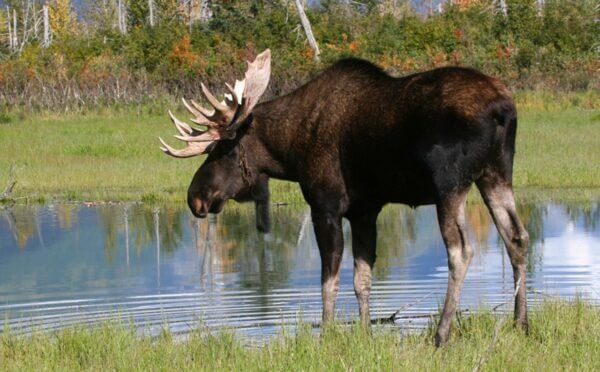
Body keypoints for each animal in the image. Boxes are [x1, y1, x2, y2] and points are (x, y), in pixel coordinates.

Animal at [159, 49, 528, 346]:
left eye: (222, 149)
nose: (195, 197)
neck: (291, 152)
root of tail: (503, 109)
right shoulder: (364, 211)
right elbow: (362, 279)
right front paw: (364, 333)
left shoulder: (325, 206)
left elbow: (329, 282)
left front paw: (326, 334)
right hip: (496, 174)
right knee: (517, 237)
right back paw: (520, 323)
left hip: (450, 184)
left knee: (461, 250)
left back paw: (441, 334)